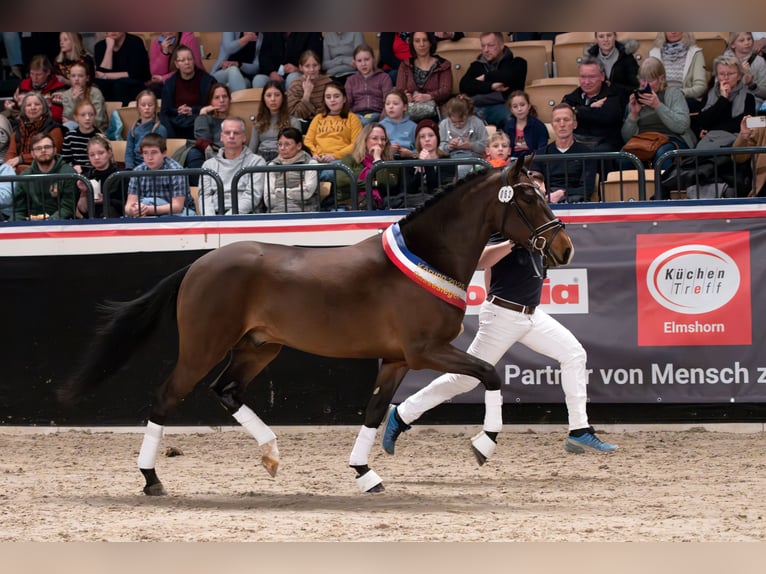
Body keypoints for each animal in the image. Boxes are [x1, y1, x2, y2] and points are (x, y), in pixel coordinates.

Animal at [58, 156, 574, 495]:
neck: (429, 259)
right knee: (166, 397)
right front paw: (483, 445)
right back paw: (151, 479)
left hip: (258, 347)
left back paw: (270, 454)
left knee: (226, 391)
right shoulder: (425, 350)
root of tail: (199, 264)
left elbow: (375, 412)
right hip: (204, 348)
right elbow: (490, 374)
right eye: (528, 197)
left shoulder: (396, 360)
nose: (564, 248)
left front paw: (366, 474)